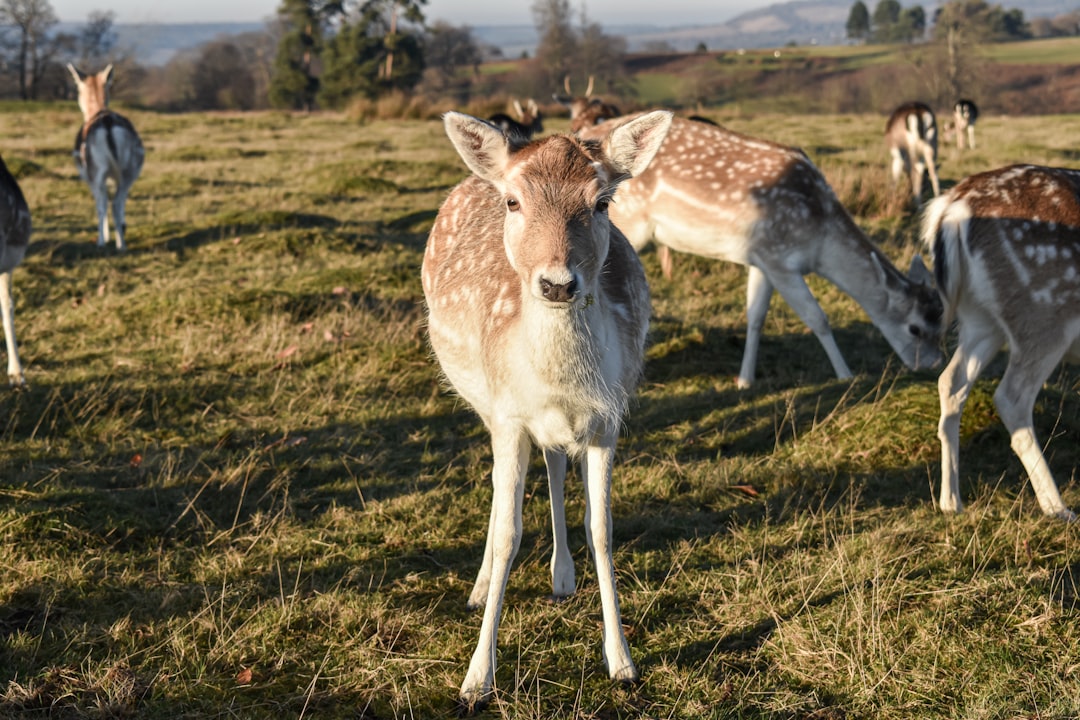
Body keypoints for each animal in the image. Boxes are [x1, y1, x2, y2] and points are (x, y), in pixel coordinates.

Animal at [67, 64, 144, 250]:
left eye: (78, 89)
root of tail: (108, 125)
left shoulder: (88, 176)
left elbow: (100, 202)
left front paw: (106, 237)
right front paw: (120, 228)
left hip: (96, 169)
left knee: (105, 203)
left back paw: (106, 243)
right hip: (130, 169)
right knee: (119, 200)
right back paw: (122, 239)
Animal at [423, 110, 669, 712]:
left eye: (603, 201)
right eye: (514, 202)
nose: (558, 283)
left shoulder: (608, 418)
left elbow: (601, 528)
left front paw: (622, 663)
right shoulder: (509, 415)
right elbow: (509, 532)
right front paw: (476, 681)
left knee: (556, 459)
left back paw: (562, 577)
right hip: (484, 403)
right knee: (501, 491)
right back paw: (481, 587)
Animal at [561, 97, 941, 388]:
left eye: (941, 317)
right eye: (916, 328)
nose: (932, 365)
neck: (819, 237)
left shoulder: (761, 258)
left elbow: (755, 316)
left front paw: (744, 380)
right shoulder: (780, 259)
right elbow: (817, 317)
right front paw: (846, 375)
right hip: (628, 227)